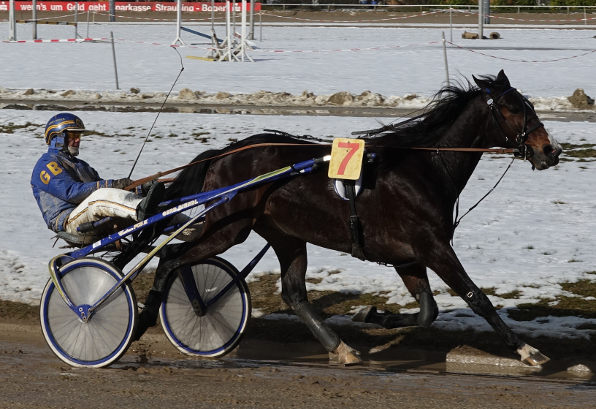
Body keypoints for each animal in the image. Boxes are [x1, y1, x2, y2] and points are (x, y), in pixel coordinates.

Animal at [140, 69, 564, 364]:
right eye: (512, 108)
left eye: (528, 105)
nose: (551, 150)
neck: (425, 167)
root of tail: (223, 155)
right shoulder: (433, 247)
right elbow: (477, 297)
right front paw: (527, 351)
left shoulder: (408, 257)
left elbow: (427, 311)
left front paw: (371, 314)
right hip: (229, 227)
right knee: (170, 258)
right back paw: (151, 316)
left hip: (285, 234)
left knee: (294, 293)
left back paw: (341, 347)